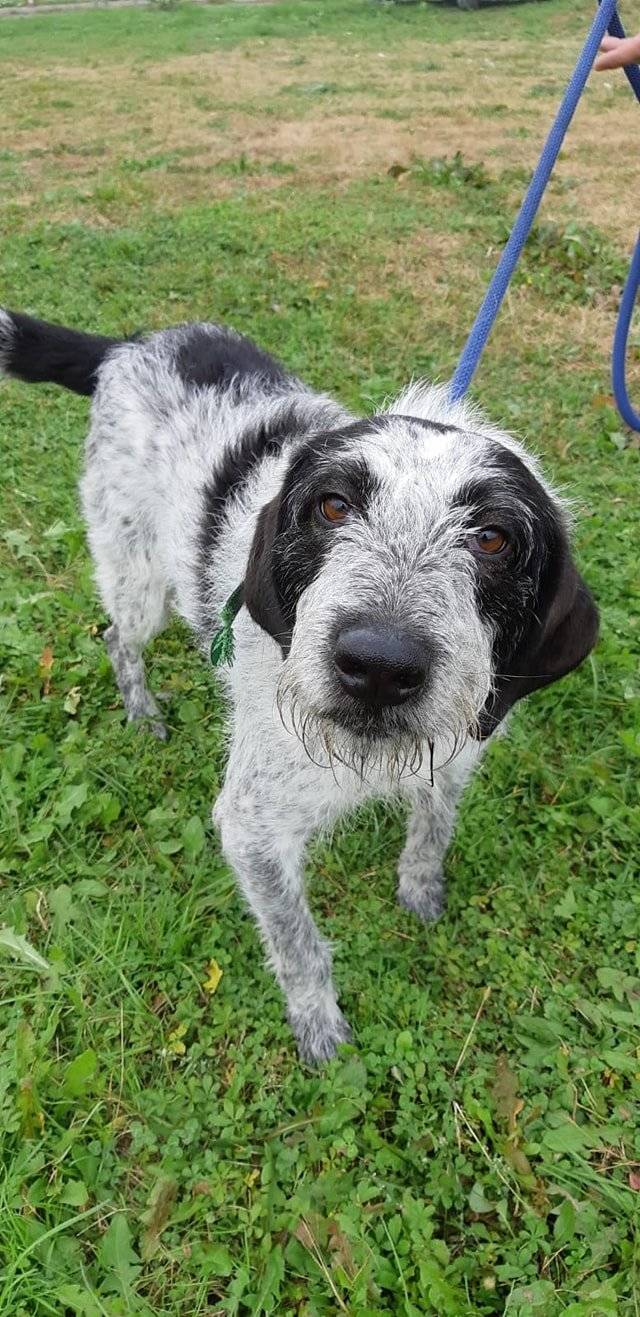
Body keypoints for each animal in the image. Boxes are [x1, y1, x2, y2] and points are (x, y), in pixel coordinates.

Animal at [0, 305, 600, 1058]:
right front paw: (318, 1023)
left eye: (493, 538)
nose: (378, 666)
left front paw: (420, 889)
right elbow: (298, 942)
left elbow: (432, 830)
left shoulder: (456, 756)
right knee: (117, 637)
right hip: (139, 582)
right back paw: (142, 711)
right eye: (333, 506)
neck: (371, 755)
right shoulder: (253, 829)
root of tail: (128, 346)